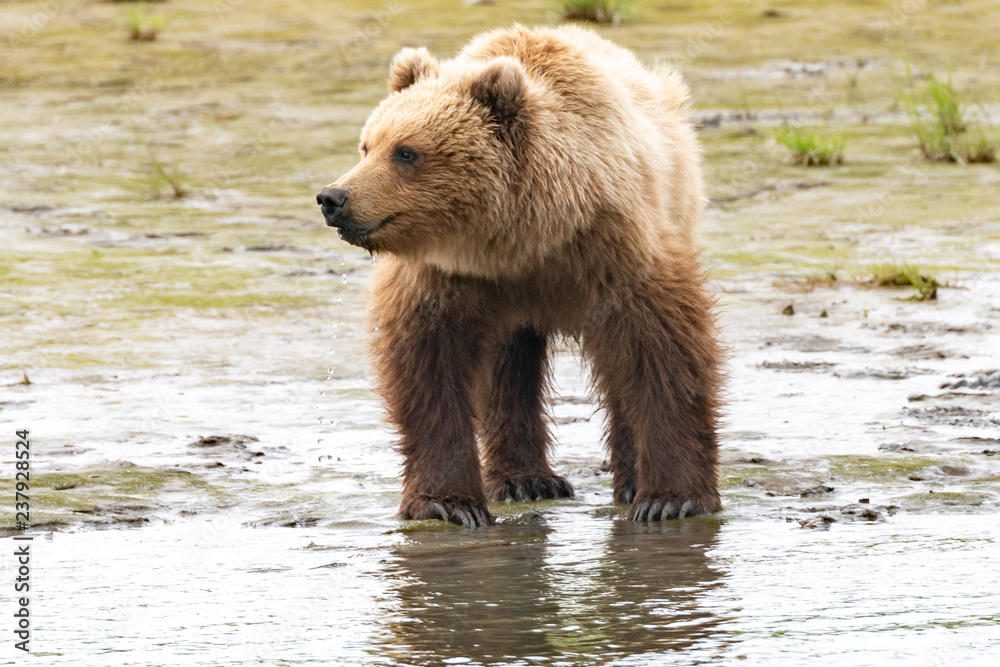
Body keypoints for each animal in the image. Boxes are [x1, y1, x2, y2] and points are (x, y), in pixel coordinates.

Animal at [316, 25, 722, 527]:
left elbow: (663, 351)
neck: (522, 239)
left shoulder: (615, 249)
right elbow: (429, 365)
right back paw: (525, 480)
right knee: (507, 367)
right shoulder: (449, 275)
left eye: (406, 152)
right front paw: (448, 504)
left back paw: (625, 481)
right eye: (367, 144)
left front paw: (669, 500)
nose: (333, 198)